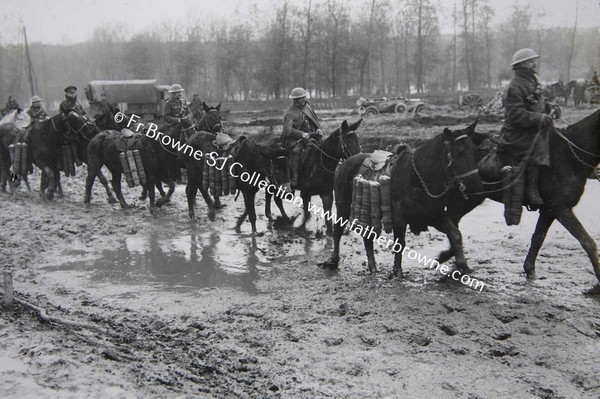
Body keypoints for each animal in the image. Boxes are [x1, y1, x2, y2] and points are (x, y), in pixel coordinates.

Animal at [322, 120, 480, 276]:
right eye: (459, 152)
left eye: (474, 150)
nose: (475, 183)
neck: (418, 177)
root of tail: (345, 163)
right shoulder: (399, 218)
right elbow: (400, 244)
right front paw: (397, 271)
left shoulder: (436, 215)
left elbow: (455, 234)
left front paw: (462, 264)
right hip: (343, 206)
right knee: (338, 230)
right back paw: (333, 260)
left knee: (368, 236)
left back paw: (372, 266)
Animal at [436, 111, 600, 296]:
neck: (568, 156)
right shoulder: (561, 209)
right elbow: (588, 242)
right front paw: (597, 285)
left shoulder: (549, 211)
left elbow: (538, 238)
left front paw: (530, 270)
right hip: (462, 199)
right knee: (451, 222)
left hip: (470, 199)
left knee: (452, 223)